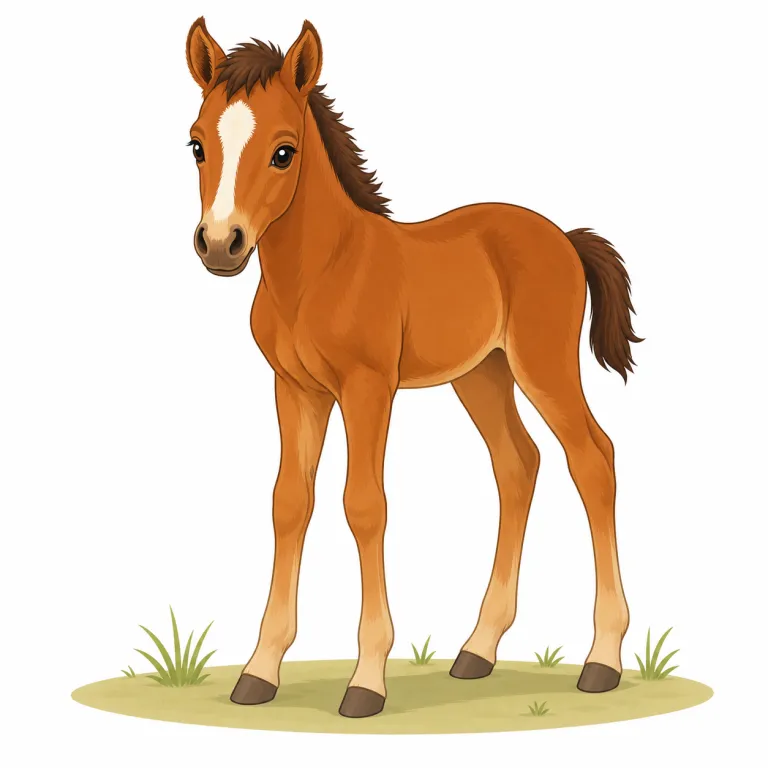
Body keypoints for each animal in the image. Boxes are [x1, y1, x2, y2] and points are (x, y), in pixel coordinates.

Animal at [185, 17, 642, 718]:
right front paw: (259, 672)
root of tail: (563, 237)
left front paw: (366, 680)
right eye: (197, 146)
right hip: (481, 374)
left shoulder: (368, 388)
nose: (219, 244)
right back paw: (478, 650)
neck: (321, 272)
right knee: (518, 464)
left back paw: (603, 660)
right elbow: (290, 502)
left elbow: (364, 504)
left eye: (284, 151)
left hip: (543, 365)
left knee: (592, 458)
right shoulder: (296, 389)